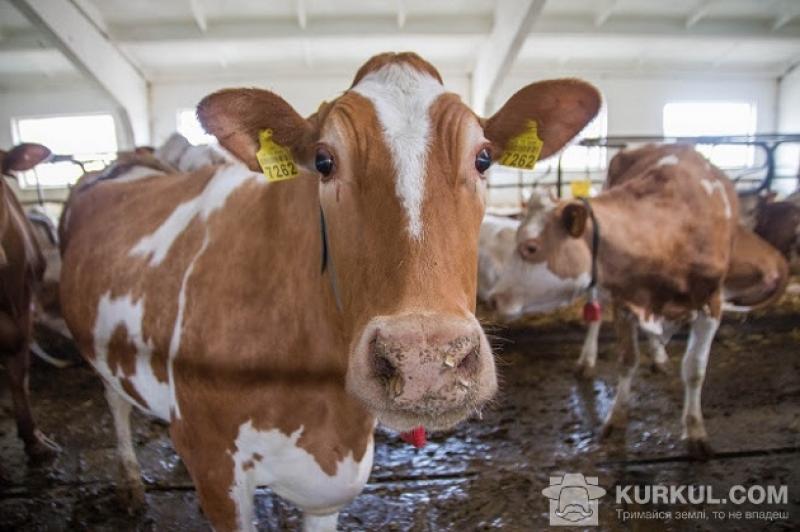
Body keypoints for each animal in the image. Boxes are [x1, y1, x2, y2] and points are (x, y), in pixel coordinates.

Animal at [61, 51, 600, 532]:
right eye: (324, 161)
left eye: (484, 157)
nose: (424, 358)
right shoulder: (216, 471)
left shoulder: (331, 487)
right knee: (114, 402)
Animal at [488, 144, 744, 458]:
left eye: (531, 248)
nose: (494, 298)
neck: (669, 231)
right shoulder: (625, 299)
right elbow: (627, 360)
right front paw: (616, 418)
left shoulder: (711, 304)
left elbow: (694, 369)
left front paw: (695, 430)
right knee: (595, 312)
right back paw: (588, 360)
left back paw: (659, 354)